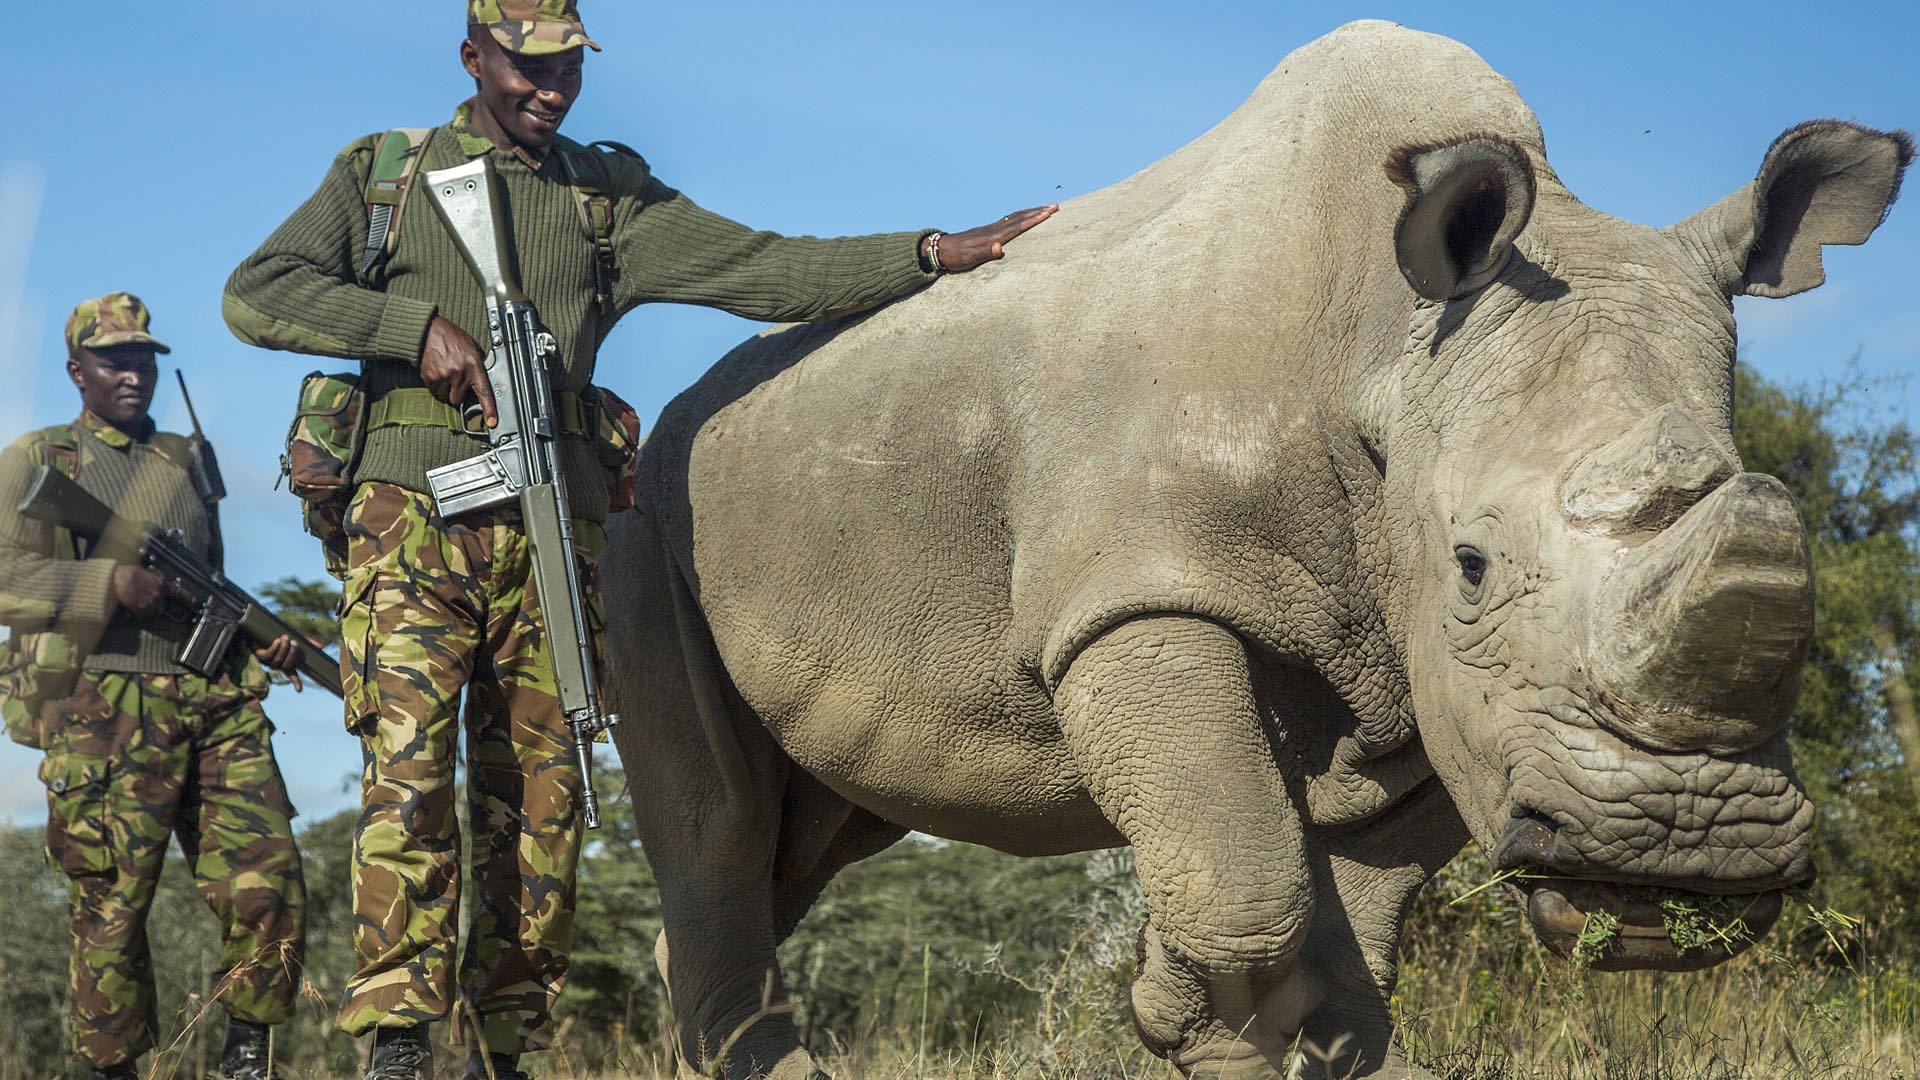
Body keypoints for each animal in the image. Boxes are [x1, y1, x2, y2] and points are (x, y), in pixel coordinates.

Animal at [595, 18, 1904, 1076]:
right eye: (1474, 565)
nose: (1688, 847)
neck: (1379, 345)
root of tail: (676, 416)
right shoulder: (1139, 595)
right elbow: (1246, 868)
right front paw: (1187, 1015)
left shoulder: (1420, 659)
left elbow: (1362, 888)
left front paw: (1302, 1048)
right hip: (648, 516)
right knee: (718, 821)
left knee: (810, 834)